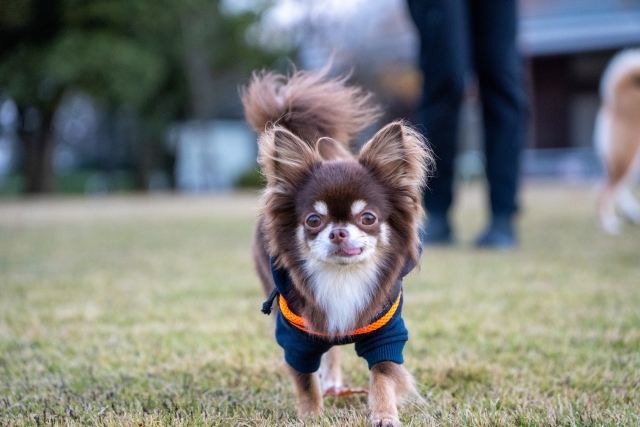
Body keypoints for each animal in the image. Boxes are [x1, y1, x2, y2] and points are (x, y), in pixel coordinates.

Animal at [242, 66, 432, 424]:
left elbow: (383, 374)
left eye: (368, 218)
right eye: (314, 220)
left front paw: (383, 414)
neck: (343, 277)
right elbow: (304, 380)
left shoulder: (387, 333)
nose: (339, 233)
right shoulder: (296, 336)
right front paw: (310, 416)